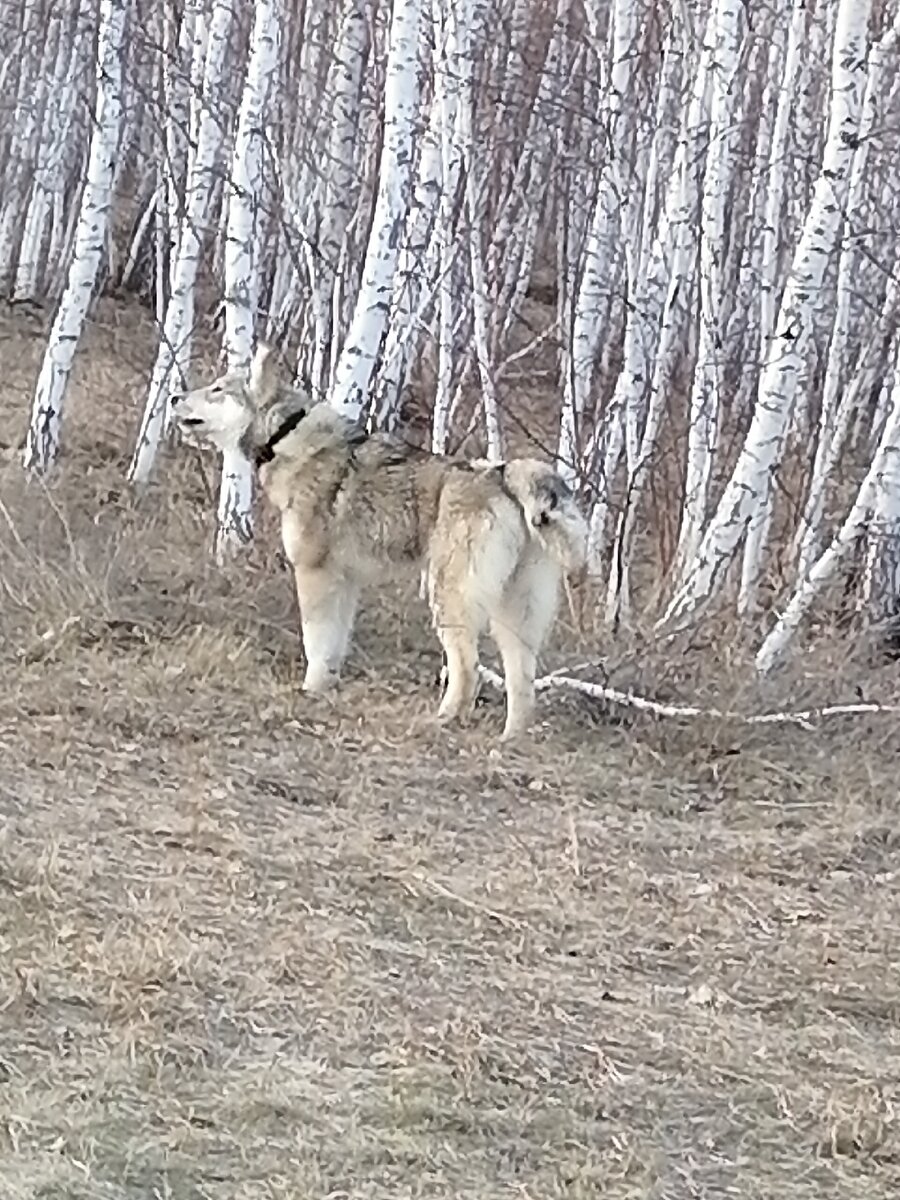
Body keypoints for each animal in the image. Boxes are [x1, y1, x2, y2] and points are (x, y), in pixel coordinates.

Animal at [171, 345, 588, 739]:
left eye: (217, 389)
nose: (174, 396)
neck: (286, 434)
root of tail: (504, 474)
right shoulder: (346, 581)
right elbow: (335, 646)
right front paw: (325, 690)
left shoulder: (313, 573)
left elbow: (315, 642)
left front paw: (308, 691)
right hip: (513, 618)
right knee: (522, 684)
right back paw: (508, 741)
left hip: (448, 600)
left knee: (467, 669)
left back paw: (440, 721)